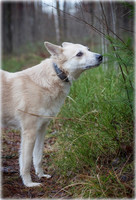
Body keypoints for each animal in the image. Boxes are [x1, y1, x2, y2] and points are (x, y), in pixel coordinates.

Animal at [0, 41, 102, 187]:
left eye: (88, 49)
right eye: (79, 54)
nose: (101, 56)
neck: (54, 76)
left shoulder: (42, 129)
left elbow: (38, 156)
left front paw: (41, 175)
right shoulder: (29, 132)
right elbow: (26, 162)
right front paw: (29, 183)